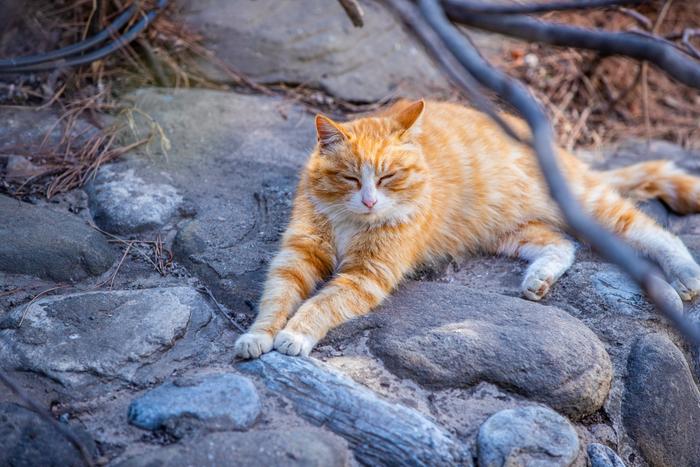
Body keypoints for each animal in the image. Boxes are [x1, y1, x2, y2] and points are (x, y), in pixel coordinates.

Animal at [234, 100, 700, 360]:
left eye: (387, 178)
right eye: (350, 178)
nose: (368, 201)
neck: (354, 221)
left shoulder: (367, 275)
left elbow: (321, 304)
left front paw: (295, 335)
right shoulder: (299, 254)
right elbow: (278, 296)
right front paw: (259, 335)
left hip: (585, 205)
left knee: (650, 230)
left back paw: (685, 275)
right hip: (505, 230)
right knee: (561, 244)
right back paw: (539, 280)